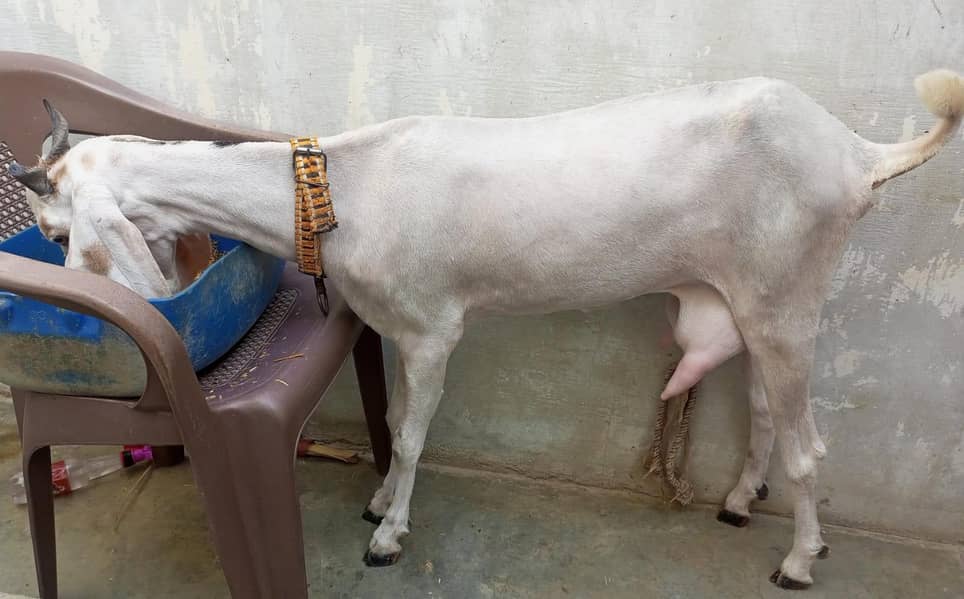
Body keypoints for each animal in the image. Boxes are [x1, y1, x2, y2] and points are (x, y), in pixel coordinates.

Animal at [10, 69, 963, 589]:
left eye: (56, 233)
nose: (54, 290)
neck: (342, 189)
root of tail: (856, 154)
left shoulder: (434, 327)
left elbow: (413, 433)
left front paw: (389, 534)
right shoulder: (396, 328)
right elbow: (397, 422)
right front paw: (380, 501)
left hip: (787, 295)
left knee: (810, 445)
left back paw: (799, 559)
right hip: (753, 301)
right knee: (767, 411)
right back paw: (737, 500)